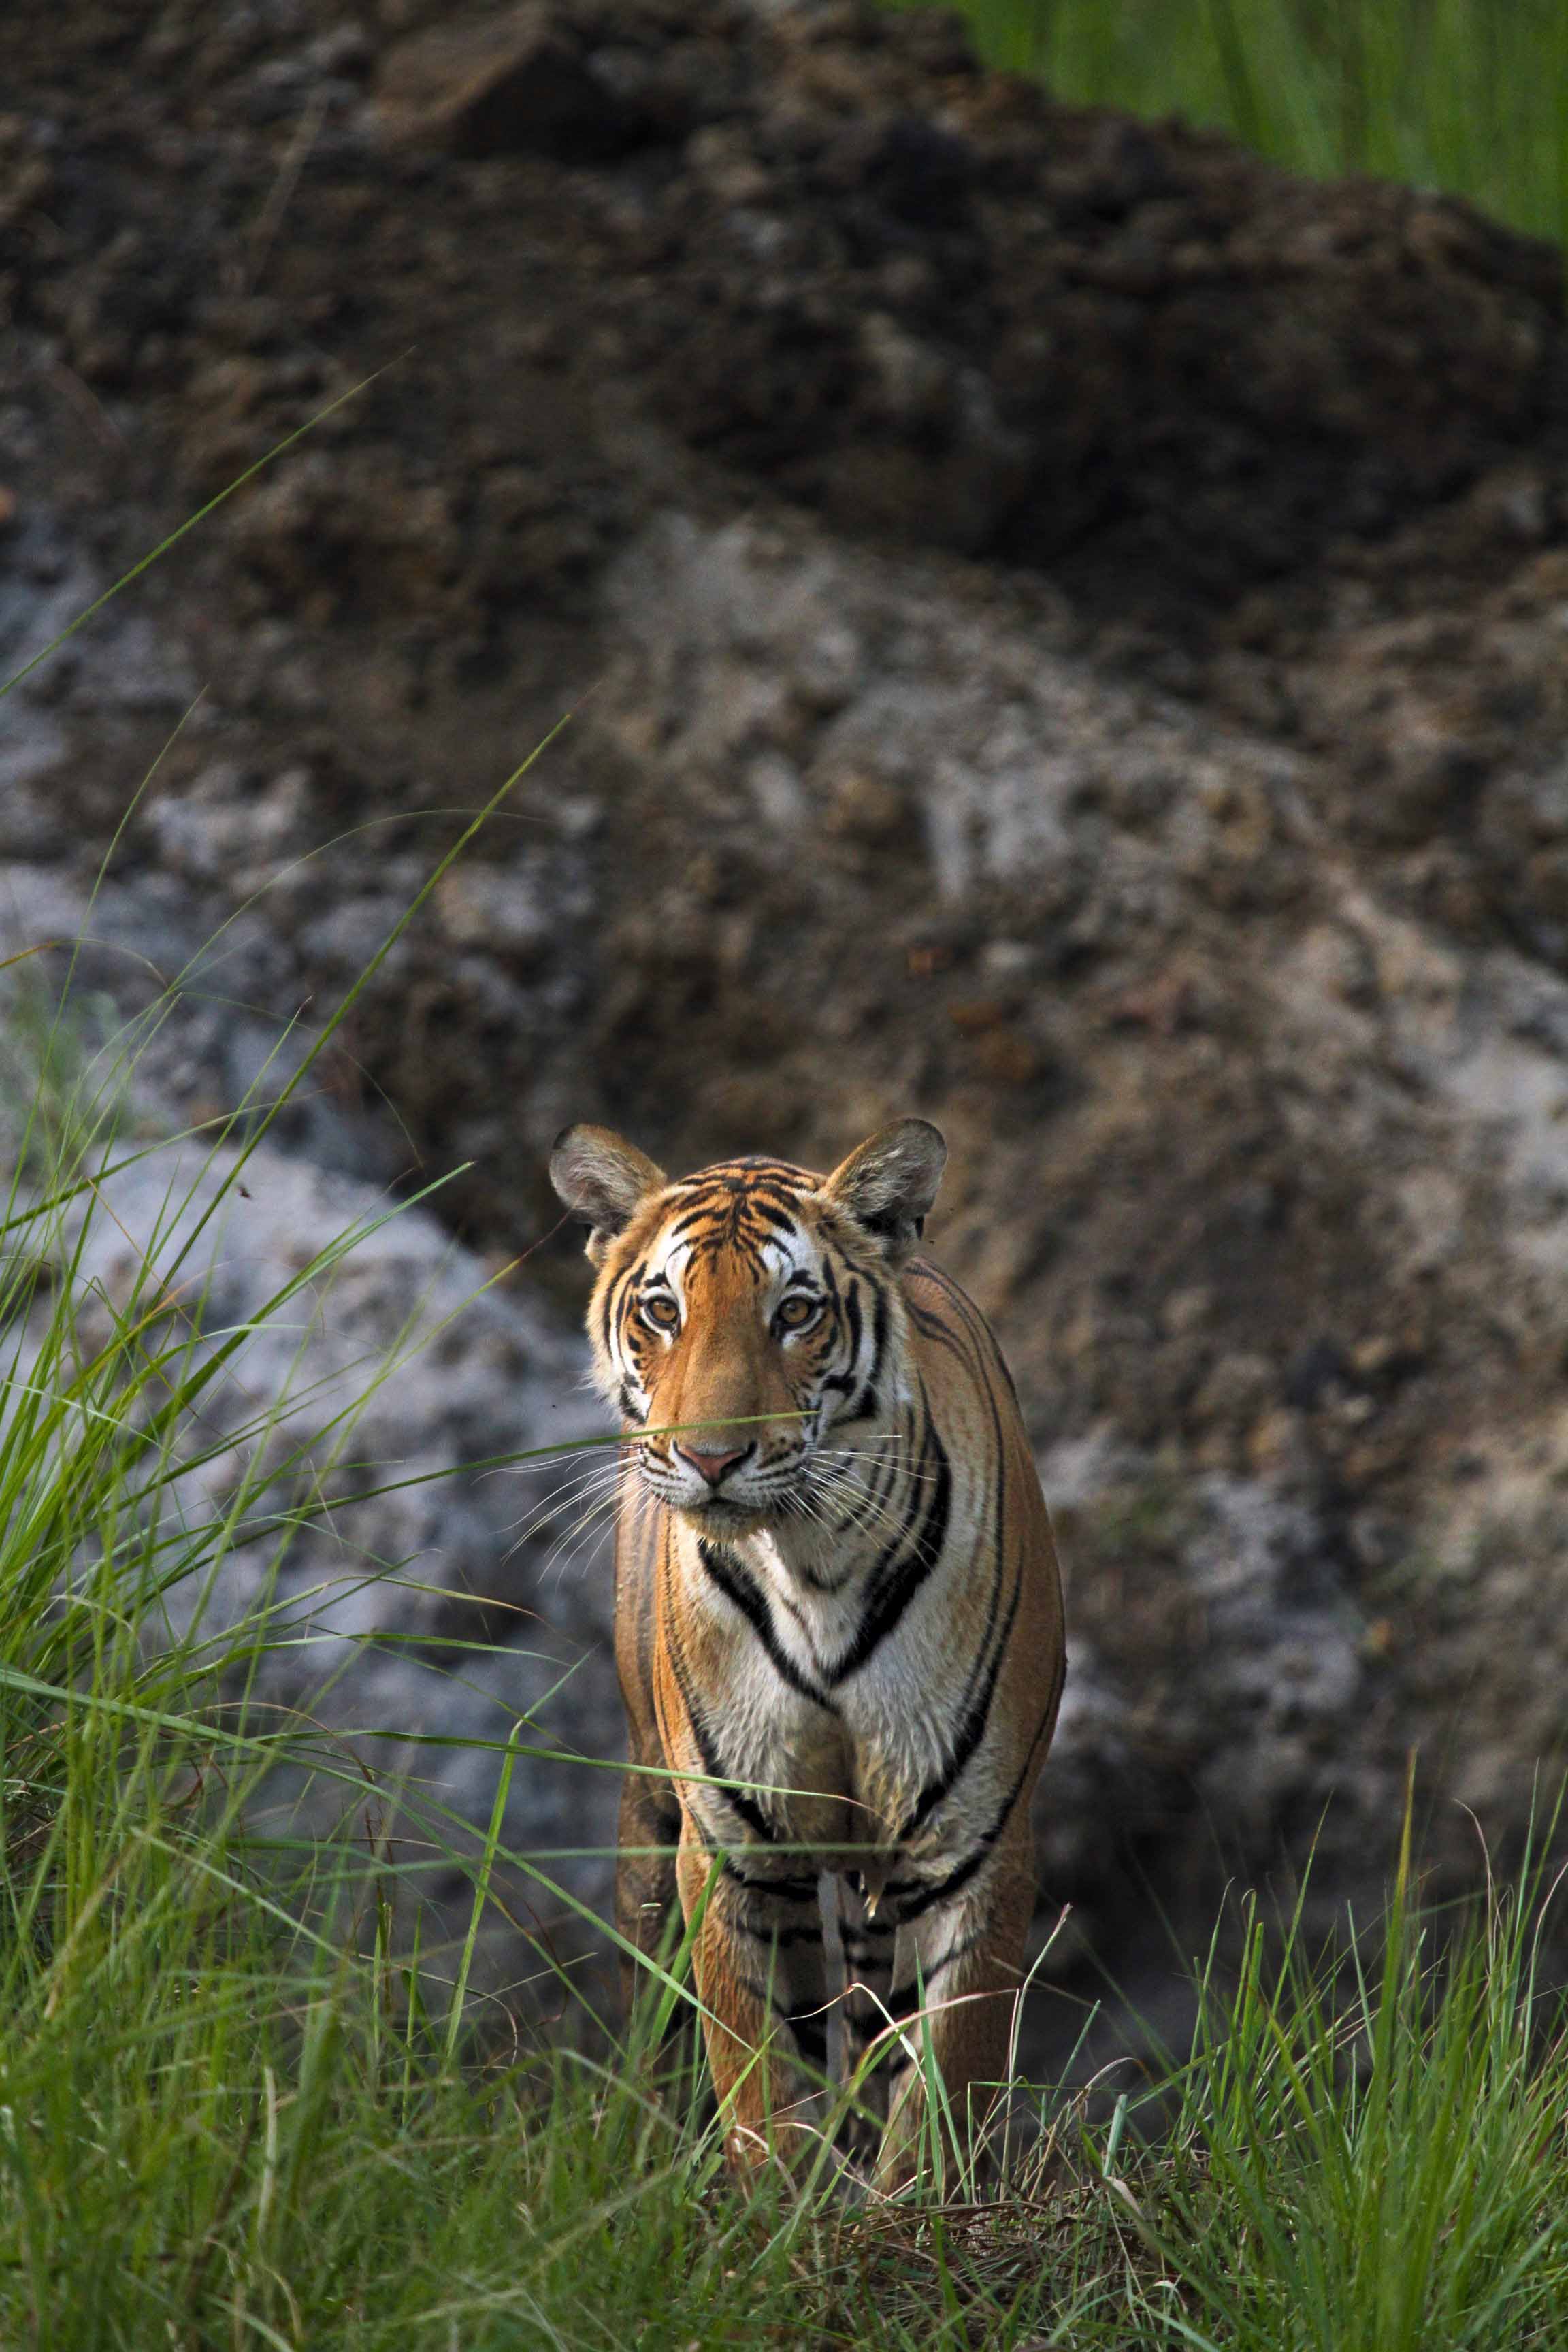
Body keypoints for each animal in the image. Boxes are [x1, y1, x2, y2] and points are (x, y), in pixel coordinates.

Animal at [549, 1117, 1066, 2187]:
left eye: (795, 1312)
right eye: (662, 1311)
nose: (710, 1458)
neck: (815, 1564)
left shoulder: (975, 1845)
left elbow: (944, 2071)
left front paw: (909, 2205)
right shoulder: (733, 1851)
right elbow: (754, 2067)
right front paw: (774, 2200)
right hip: (656, 1810)